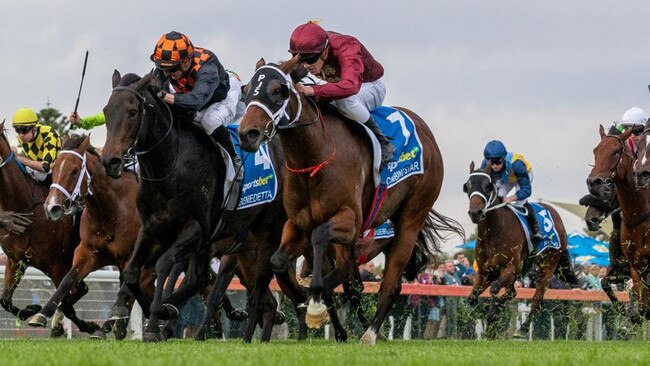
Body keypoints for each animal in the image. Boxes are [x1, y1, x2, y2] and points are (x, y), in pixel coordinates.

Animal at [0, 123, 95, 334]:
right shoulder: (15, 260)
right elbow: (5, 300)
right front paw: (31, 309)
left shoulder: (56, 265)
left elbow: (66, 299)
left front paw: (90, 326)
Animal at [26, 135, 153, 340]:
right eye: (54, 167)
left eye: (75, 170)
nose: (51, 207)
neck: (112, 211)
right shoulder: (88, 252)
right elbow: (67, 280)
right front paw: (41, 314)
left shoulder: (131, 257)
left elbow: (126, 290)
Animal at [238, 58, 460, 344]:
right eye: (247, 89)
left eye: (279, 91)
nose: (248, 134)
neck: (314, 158)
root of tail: (426, 132)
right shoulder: (297, 225)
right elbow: (279, 263)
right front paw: (304, 303)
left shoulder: (349, 221)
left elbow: (321, 243)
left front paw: (314, 304)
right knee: (353, 278)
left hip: (411, 216)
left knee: (390, 283)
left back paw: (370, 334)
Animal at [460, 162, 572, 338]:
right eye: (468, 186)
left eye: (488, 186)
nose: (475, 213)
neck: (495, 231)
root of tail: (556, 215)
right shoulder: (485, 272)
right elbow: (472, 298)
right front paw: (490, 319)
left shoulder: (511, 267)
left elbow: (495, 290)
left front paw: (492, 317)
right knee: (512, 292)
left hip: (547, 265)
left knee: (537, 298)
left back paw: (523, 328)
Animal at [584, 126, 648, 320]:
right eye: (595, 151)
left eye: (616, 152)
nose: (594, 182)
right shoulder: (632, 268)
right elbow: (606, 283)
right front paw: (626, 311)